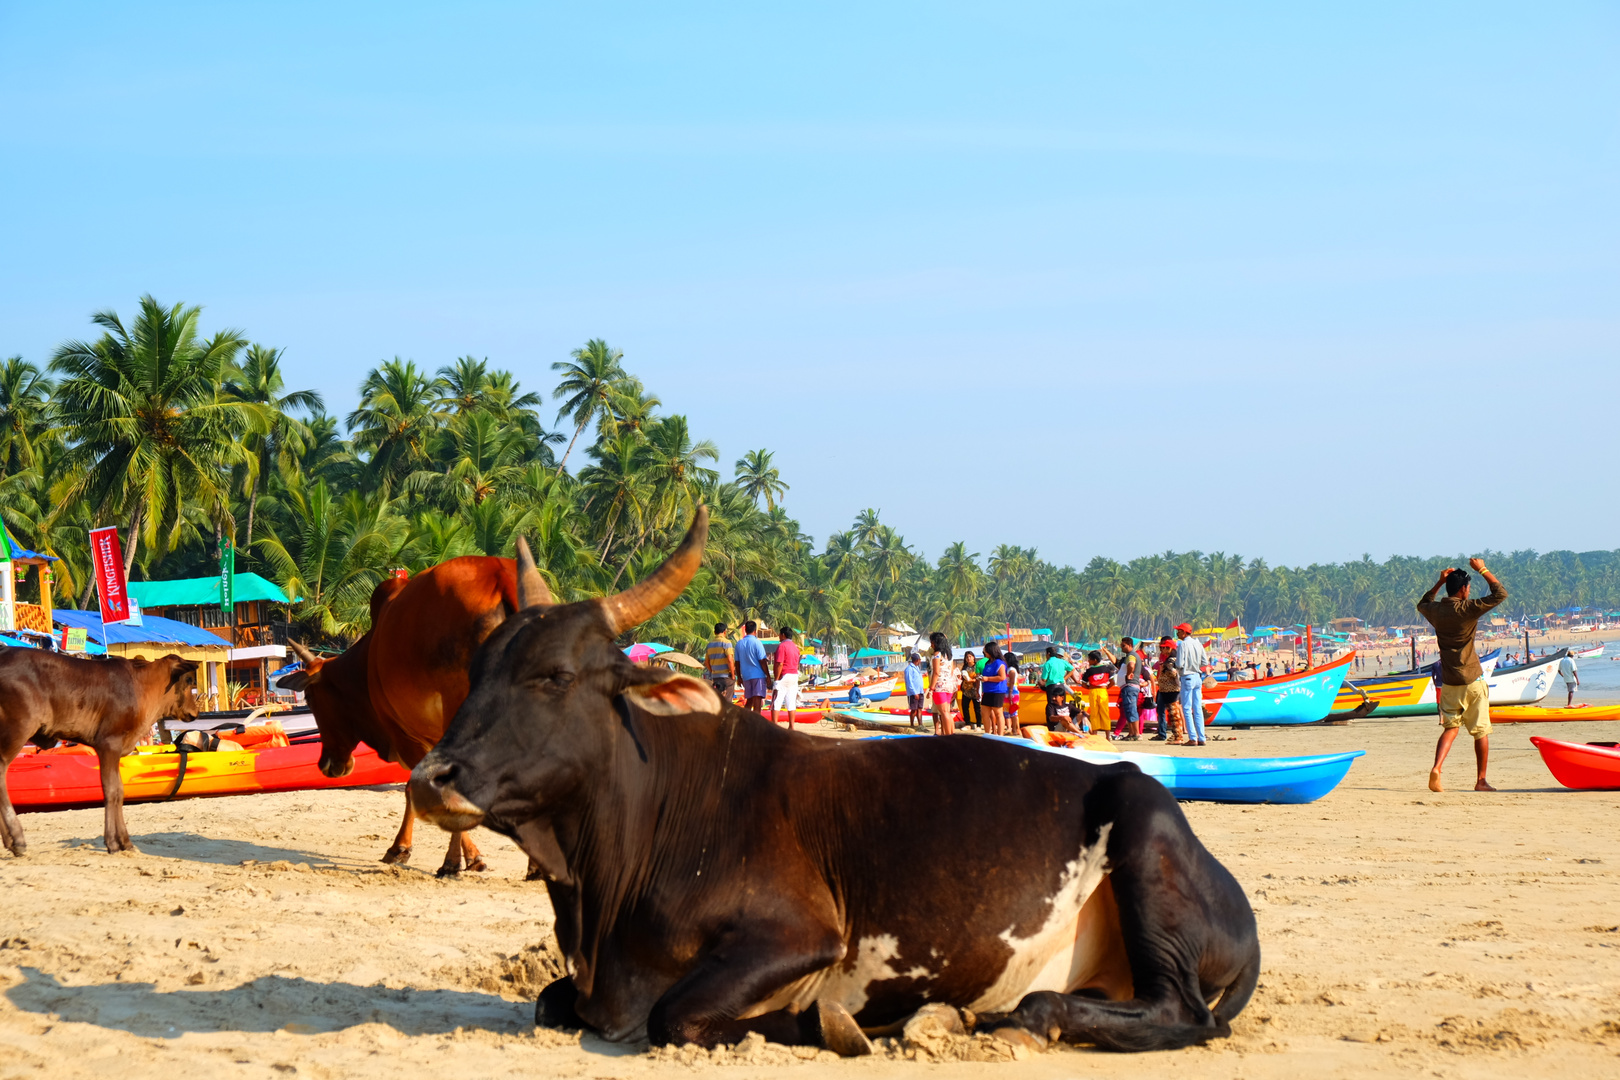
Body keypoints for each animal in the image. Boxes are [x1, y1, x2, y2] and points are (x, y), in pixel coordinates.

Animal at [0, 647, 200, 854]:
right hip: (19, 728)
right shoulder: (109, 744)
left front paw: (124, 841)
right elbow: (111, 790)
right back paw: (17, 839)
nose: (195, 712)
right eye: (188, 680)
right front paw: (113, 842)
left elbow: (120, 790)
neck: (142, 686)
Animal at [285, 557, 521, 880]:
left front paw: (400, 848)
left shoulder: (405, 734)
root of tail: (500, 573)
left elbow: (414, 788)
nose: (325, 765)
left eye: (309, 698)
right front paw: (473, 857)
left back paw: (449, 864)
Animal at [411, 508, 1257, 1055]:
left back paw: (1003, 1015)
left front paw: (823, 1027)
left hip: (1143, 830)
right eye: (478, 668)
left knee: (1183, 1013)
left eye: (554, 676)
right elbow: (551, 1003)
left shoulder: (800, 936)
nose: (428, 778)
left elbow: (675, 1017)